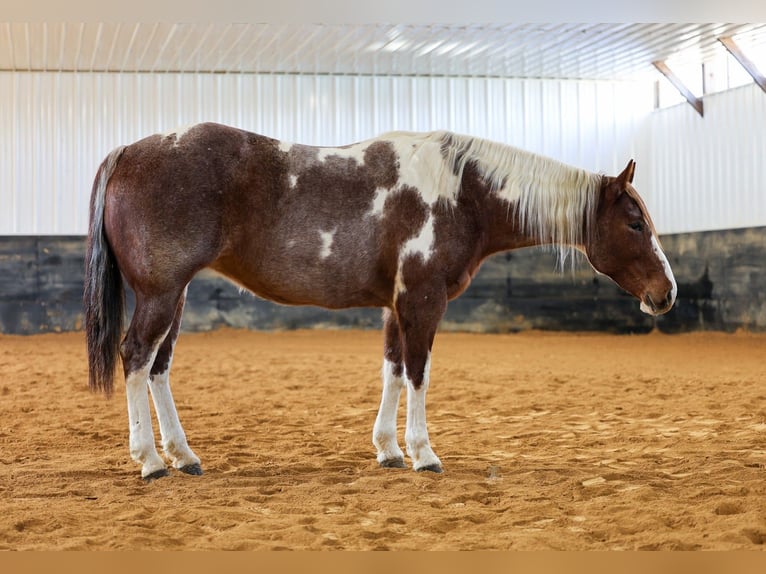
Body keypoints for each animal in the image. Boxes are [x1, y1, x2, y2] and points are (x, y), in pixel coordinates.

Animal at [84, 122, 676, 480]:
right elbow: (418, 374)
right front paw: (423, 454)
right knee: (135, 358)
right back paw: (150, 461)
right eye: (634, 222)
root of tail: (129, 151)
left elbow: (392, 370)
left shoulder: (397, 305)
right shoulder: (423, 301)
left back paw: (182, 456)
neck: (463, 192)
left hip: (176, 297)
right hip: (161, 295)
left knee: (158, 368)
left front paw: (389, 449)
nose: (666, 294)